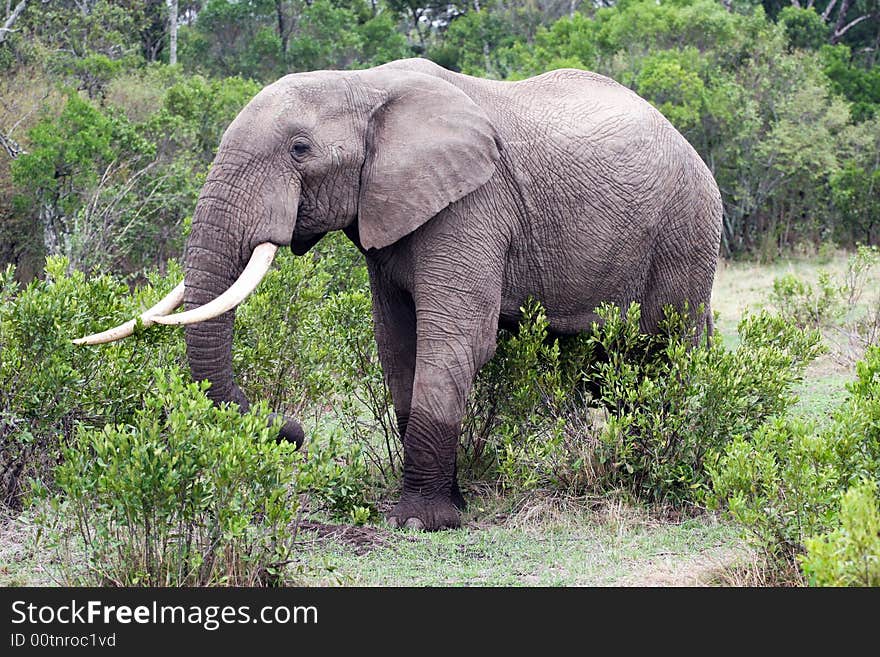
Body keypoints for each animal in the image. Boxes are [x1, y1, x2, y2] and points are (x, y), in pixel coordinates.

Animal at [75, 55, 720, 528]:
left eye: (300, 150)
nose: (291, 430)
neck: (363, 84)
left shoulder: (473, 202)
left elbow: (457, 340)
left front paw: (423, 522)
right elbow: (397, 344)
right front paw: (450, 505)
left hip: (685, 228)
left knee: (664, 353)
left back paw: (653, 475)